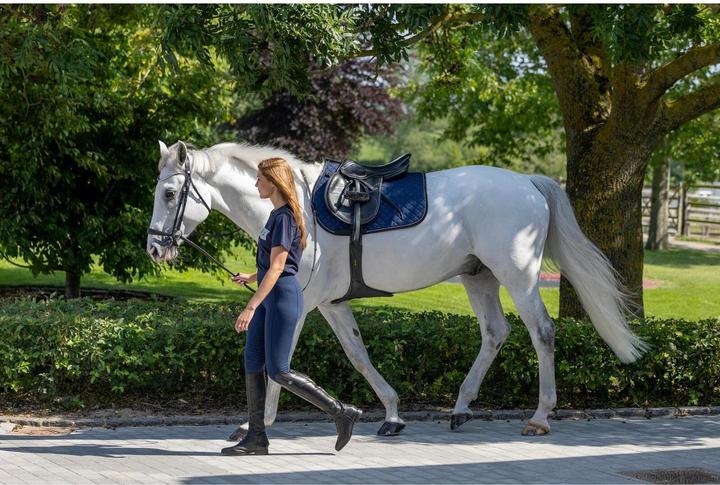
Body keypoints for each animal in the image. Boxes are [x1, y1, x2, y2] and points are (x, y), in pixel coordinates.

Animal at [146, 140, 646, 438]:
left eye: (170, 194)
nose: (154, 248)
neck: (296, 207)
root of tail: (529, 184)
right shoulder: (331, 306)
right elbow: (358, 356)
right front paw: (391, 414)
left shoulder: (303, 306)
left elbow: (277, 363)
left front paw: (257, 428)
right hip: (478, 277)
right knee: (495, 333)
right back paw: (461, 408)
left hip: (518, 276)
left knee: (541, 331)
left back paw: (540, 417)